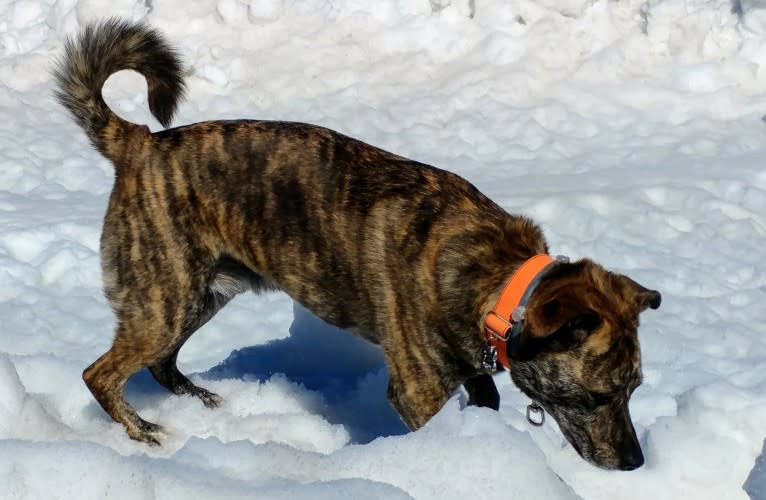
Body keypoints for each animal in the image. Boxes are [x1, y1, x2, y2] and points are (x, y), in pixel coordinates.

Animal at [55, 19, 660, 470]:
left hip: (204, 293)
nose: (634, 462)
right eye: (599, 395)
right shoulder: (419, 390)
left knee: (161, 364)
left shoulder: (472, 375)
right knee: (99, 374)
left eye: (635, 389)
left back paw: (206, 406)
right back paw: (147, 433)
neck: (499, 282)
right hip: (165, 294)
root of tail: (139, 143)